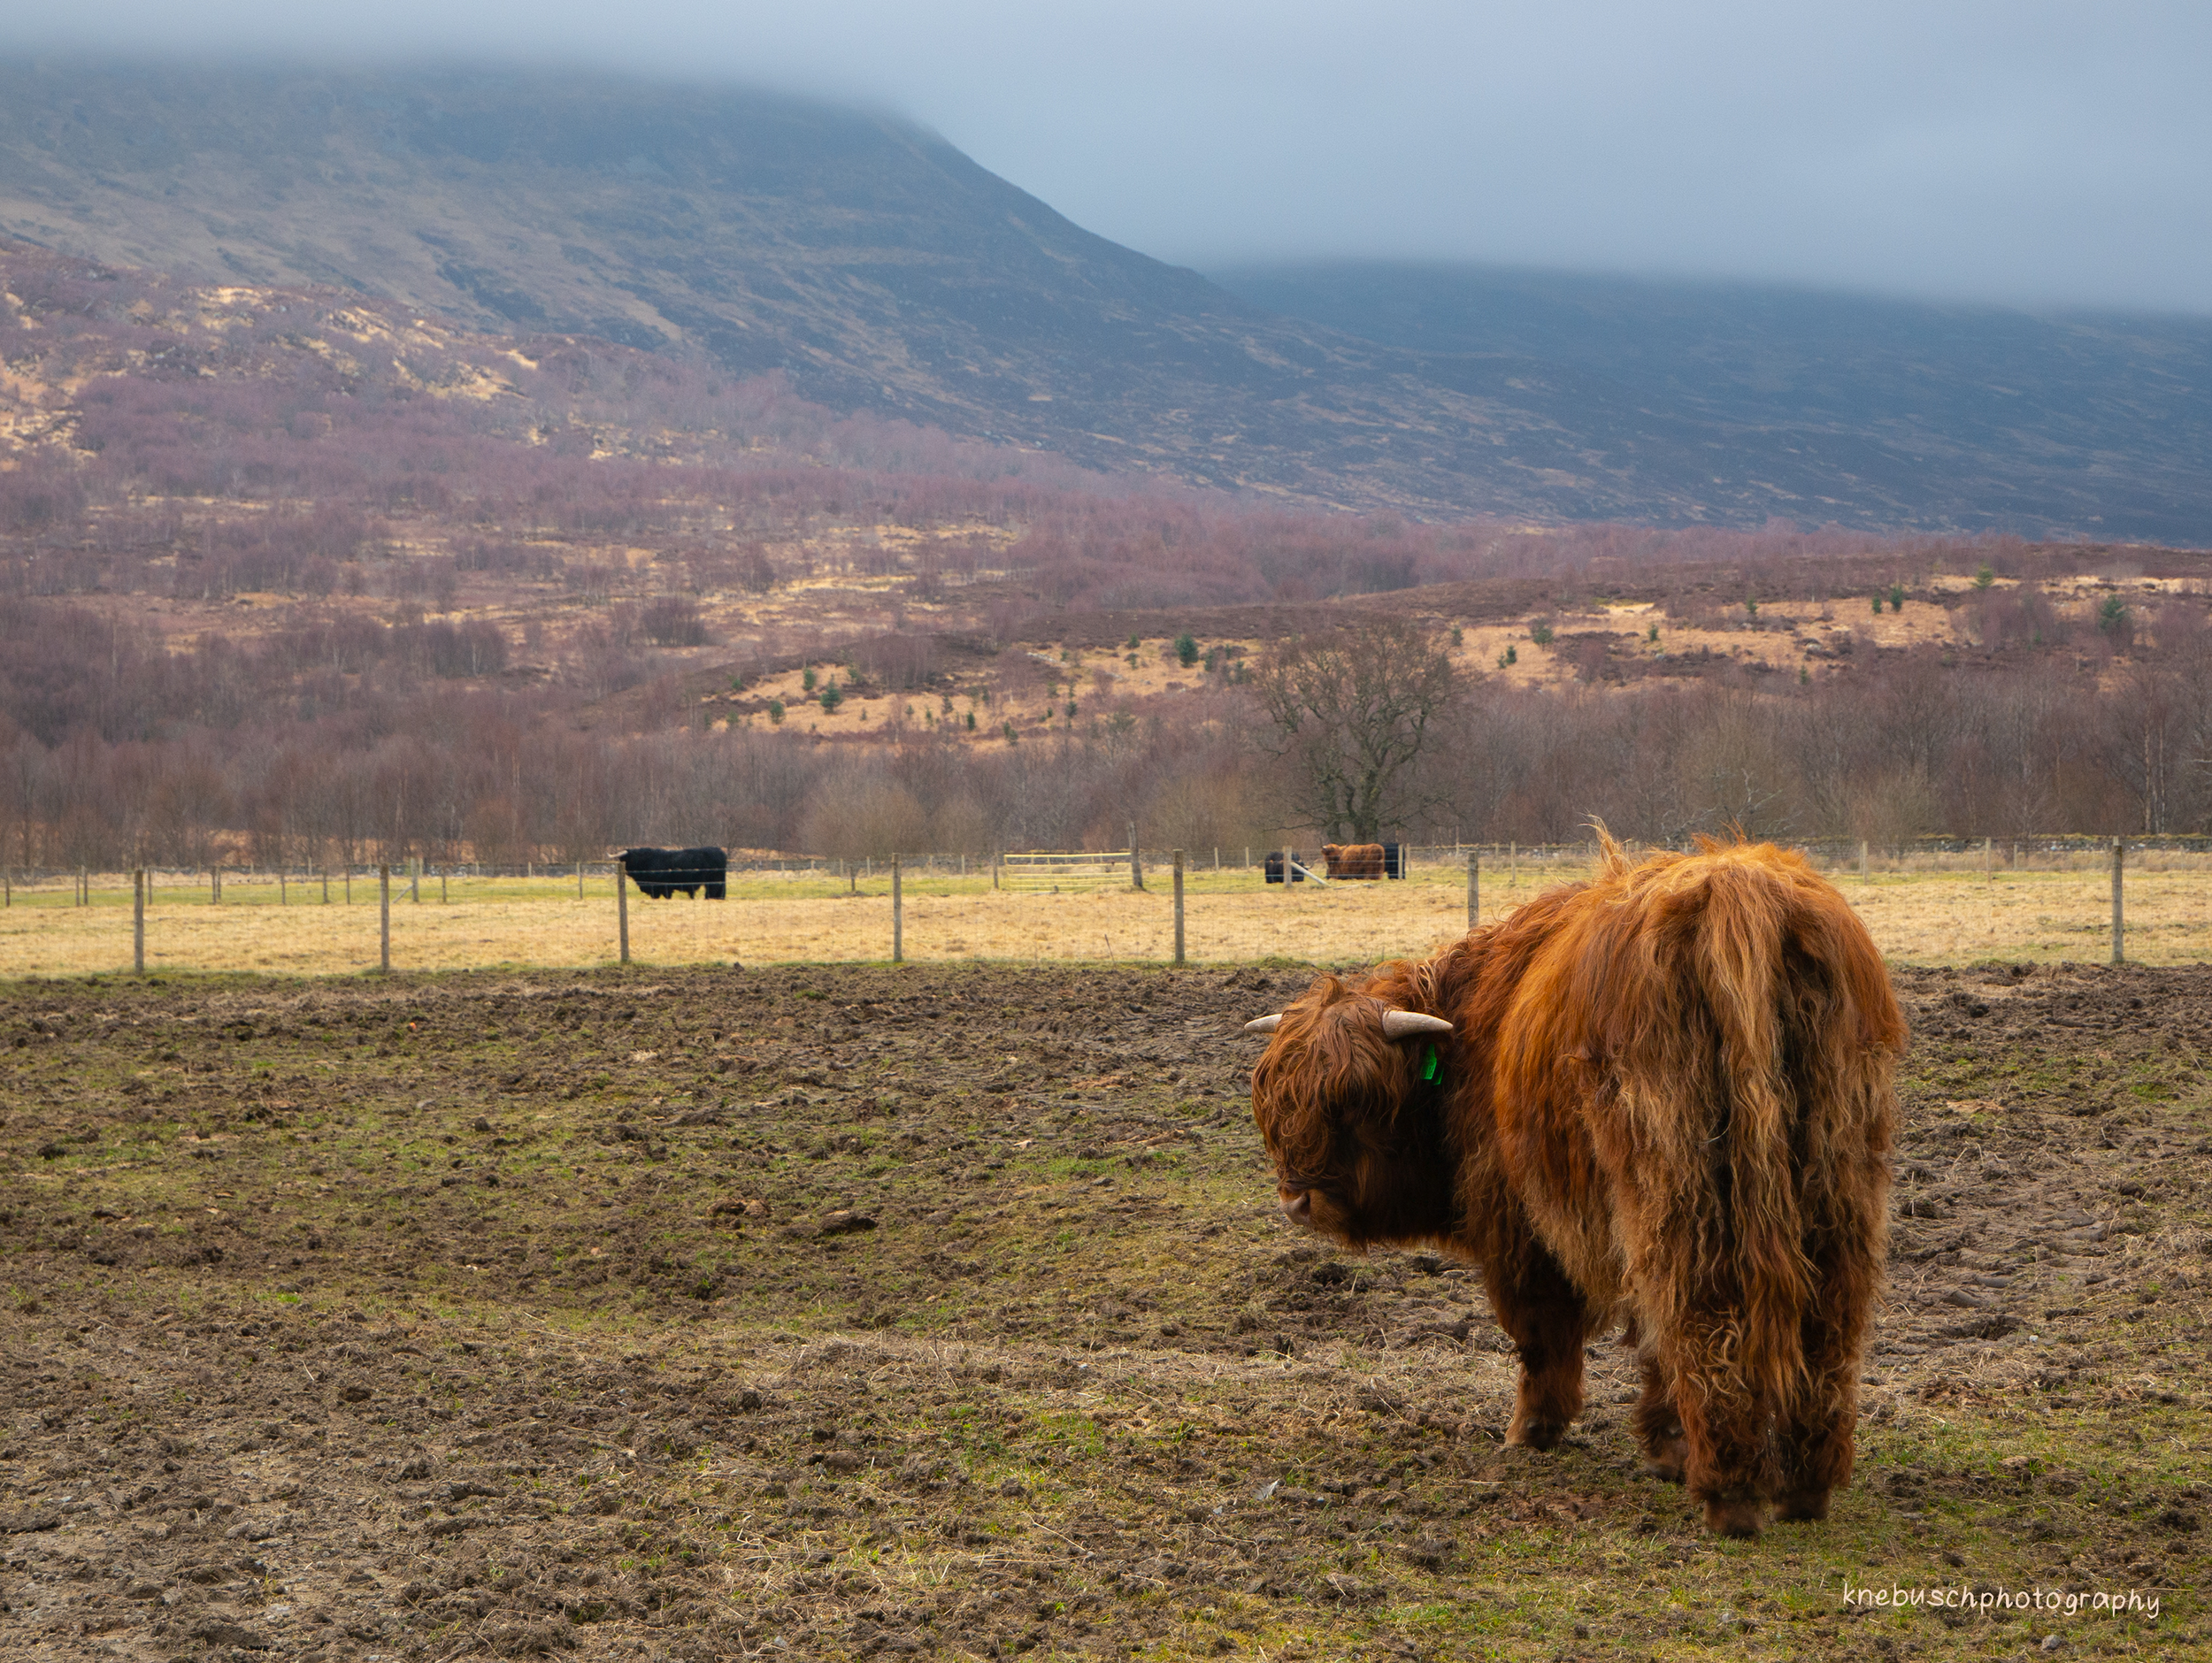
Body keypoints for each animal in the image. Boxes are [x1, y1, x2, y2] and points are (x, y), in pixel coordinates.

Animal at [1242, 834, 1903, 1537]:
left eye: (1352, 1103)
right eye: (1278, 1103)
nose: (1295, 1198)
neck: (1477, 1036)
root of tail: (1736, 894)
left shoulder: (1519, 1222)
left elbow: (1543, 1332)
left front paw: (1534, 1430)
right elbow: (1648, 1338)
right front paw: (1665, 1445)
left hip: (1679, 1184)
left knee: (1701, 1308)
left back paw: (1731, 1496)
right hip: (1834, 1180)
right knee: (1828, 1322)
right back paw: (1805, 1491)